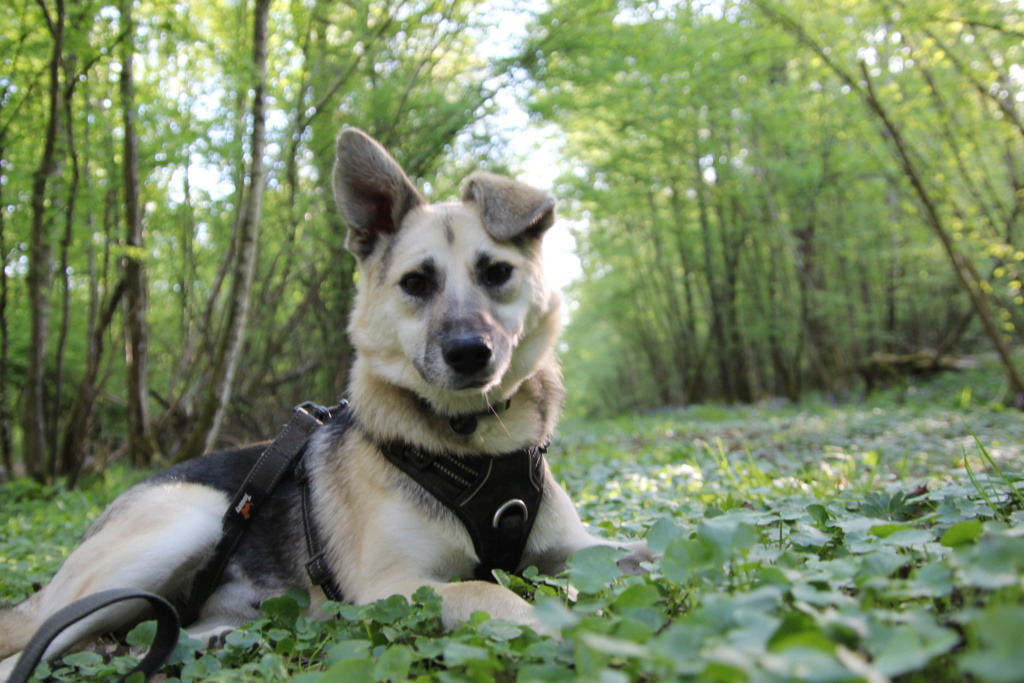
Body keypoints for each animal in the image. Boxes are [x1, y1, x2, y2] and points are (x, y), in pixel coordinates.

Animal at [0, 127, 651, 679]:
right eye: (416, 283)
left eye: (497, 272)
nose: (471, 352)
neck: (475, 442)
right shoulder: (394, 587)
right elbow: (492, 591)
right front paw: (586, 640)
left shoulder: (577, 549)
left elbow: (647, 549)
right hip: (183, 523)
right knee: (28, 653)